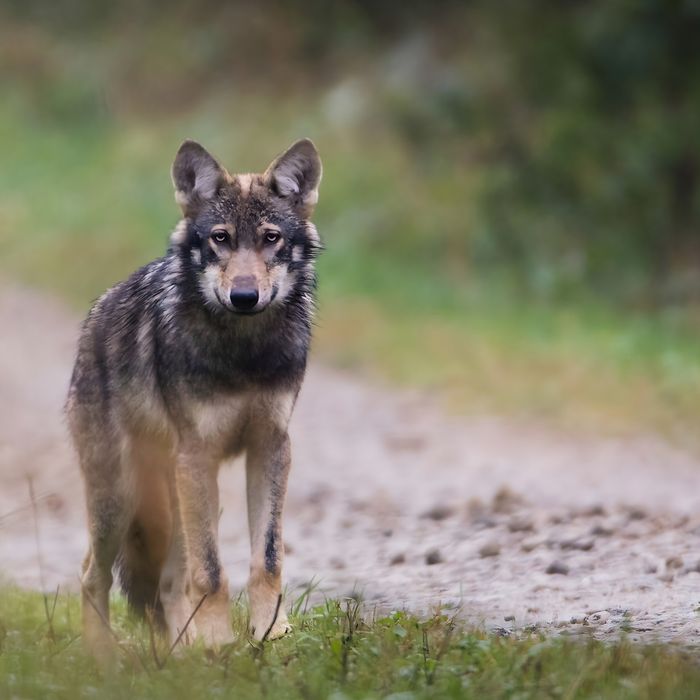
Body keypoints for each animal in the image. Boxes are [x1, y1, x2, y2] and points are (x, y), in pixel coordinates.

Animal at [66, 138, 322, 661]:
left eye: (270, 238)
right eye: (220, 238)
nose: (244, 296)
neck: (244, 352)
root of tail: (95, 316)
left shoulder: (271, 448)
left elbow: (267, 559)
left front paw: (270, 634)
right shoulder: (200, 455)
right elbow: (213, 572)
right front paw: (222, 639)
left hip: (180, 499)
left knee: (167, 583)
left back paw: (183, 657)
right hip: (124, 497)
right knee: (91, 574)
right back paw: (104, 659)